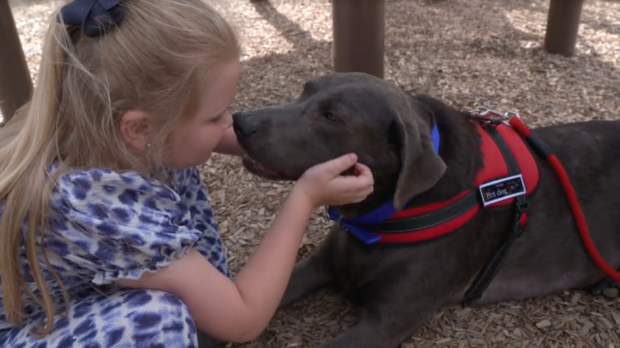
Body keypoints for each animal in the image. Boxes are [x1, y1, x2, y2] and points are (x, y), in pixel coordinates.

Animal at [230, 72, 616, 346]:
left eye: (331, 117)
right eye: (303, 91)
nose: (240, 120)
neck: (378, 220)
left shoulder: (384, 323)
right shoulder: (319, 264)